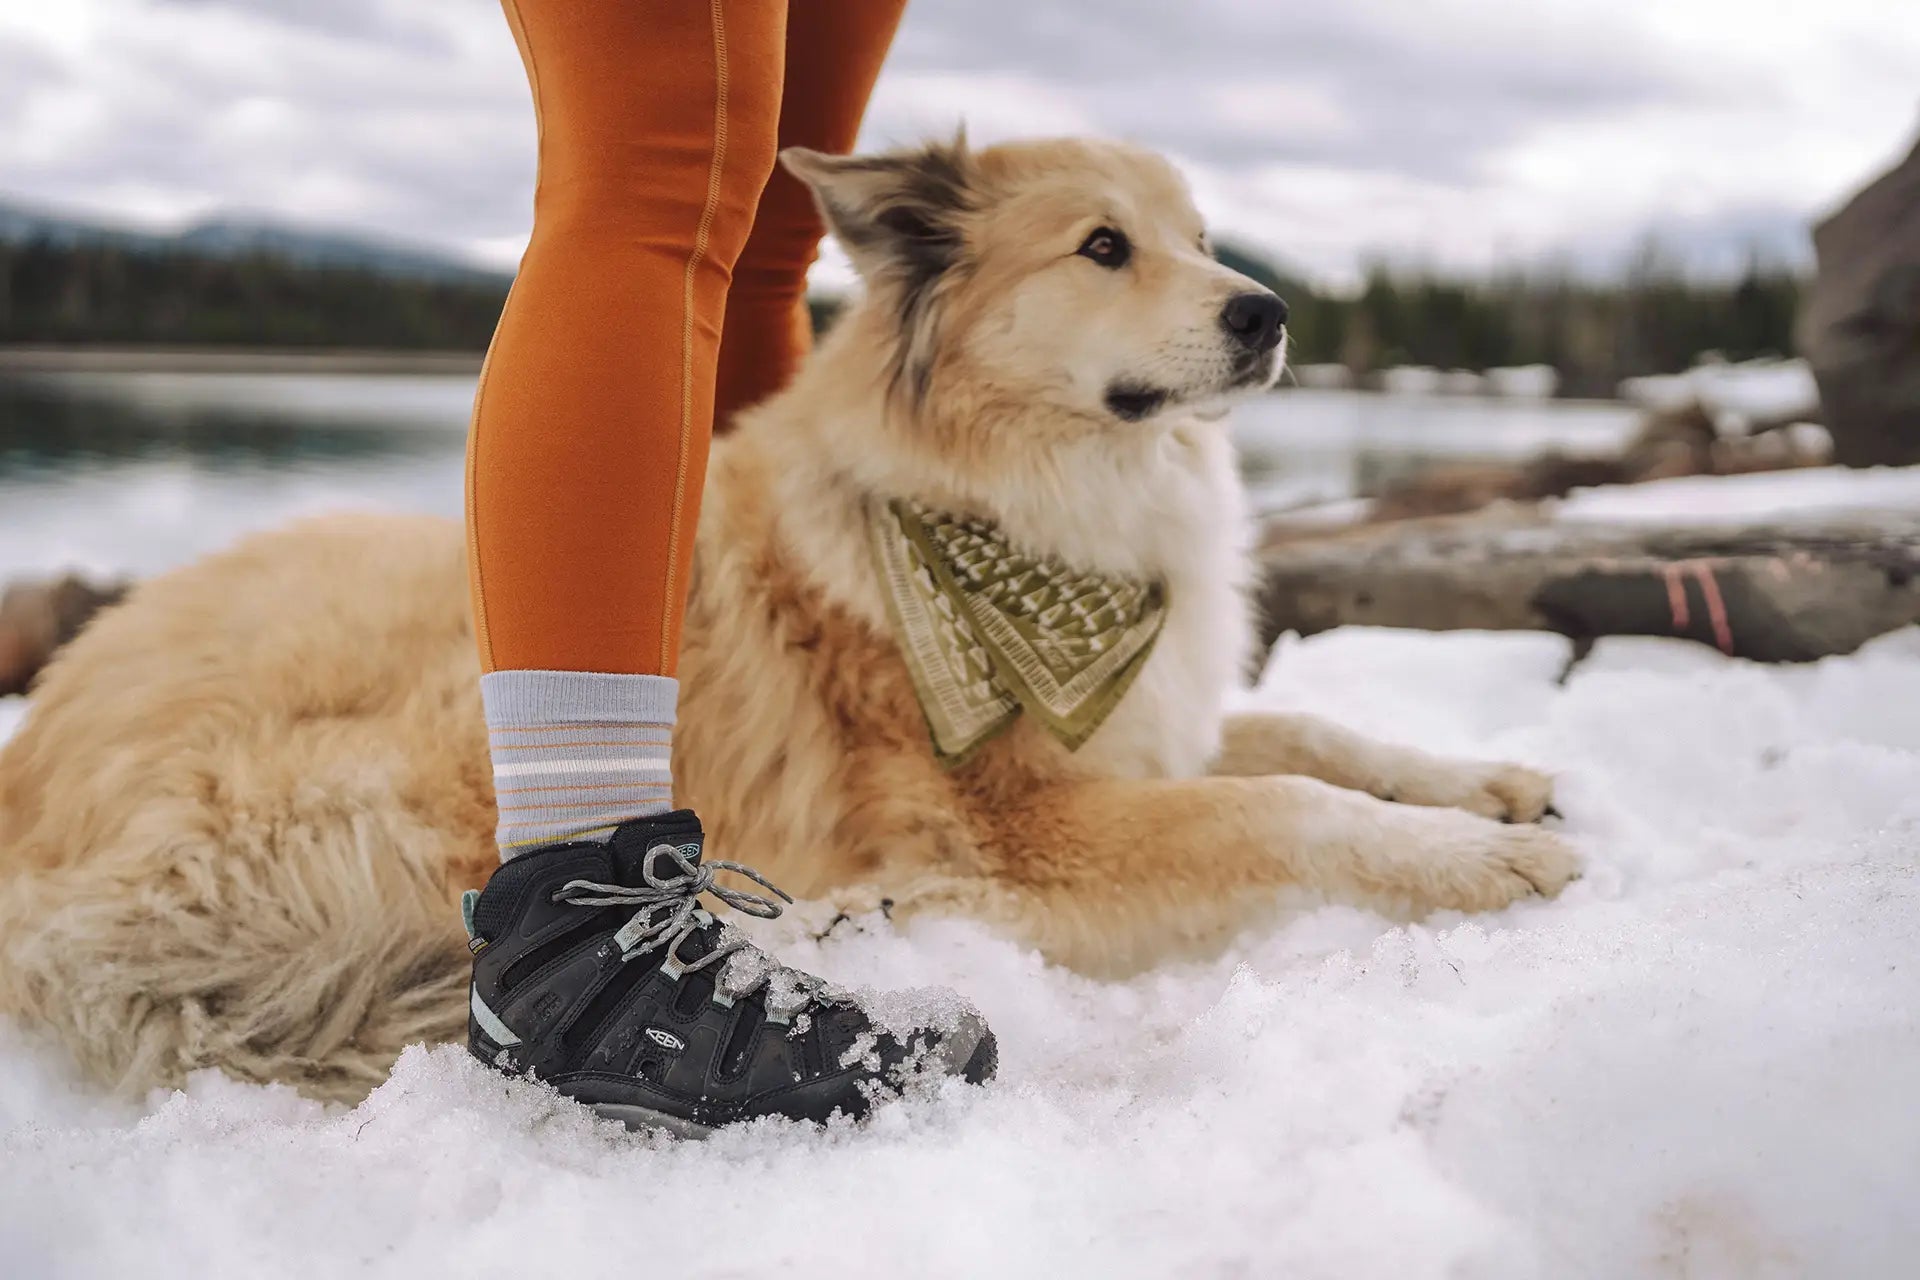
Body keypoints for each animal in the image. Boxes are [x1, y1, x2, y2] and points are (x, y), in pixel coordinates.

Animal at [0, 138, 1574, 1105]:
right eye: (1103, 247)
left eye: (1199, 239)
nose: (1271, 312)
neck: (1027, 501)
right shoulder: (1031, 822)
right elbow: (1285, 799)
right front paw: (1481, 859)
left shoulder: (1141, 728)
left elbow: (1311, 724)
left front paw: (1491, 782)